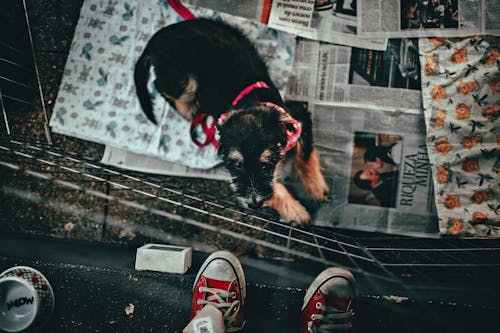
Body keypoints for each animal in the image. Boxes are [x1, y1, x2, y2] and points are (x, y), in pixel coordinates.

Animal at [134, 17, 328, 220]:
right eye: (236, 165)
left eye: (266, 166)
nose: (254, 205)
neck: (250, 102)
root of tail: (154, 41)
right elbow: (274, 187)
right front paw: (296, 211)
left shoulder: (299, 116)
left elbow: (305, 154)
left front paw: (316, 189)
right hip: (185, 82)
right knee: (159, 85)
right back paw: (189, 110)